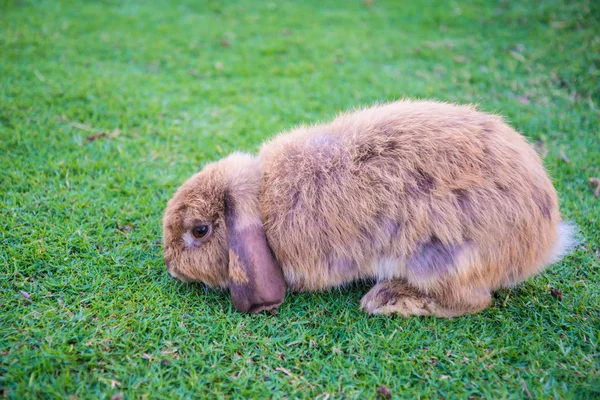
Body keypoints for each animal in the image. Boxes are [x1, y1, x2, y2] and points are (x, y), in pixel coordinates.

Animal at [162, 101, 576, 318]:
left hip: (439, 257)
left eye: (199, 230)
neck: (263, 202)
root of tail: (545, 239)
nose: (171, 268)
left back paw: (385, 299)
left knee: (473, 301)